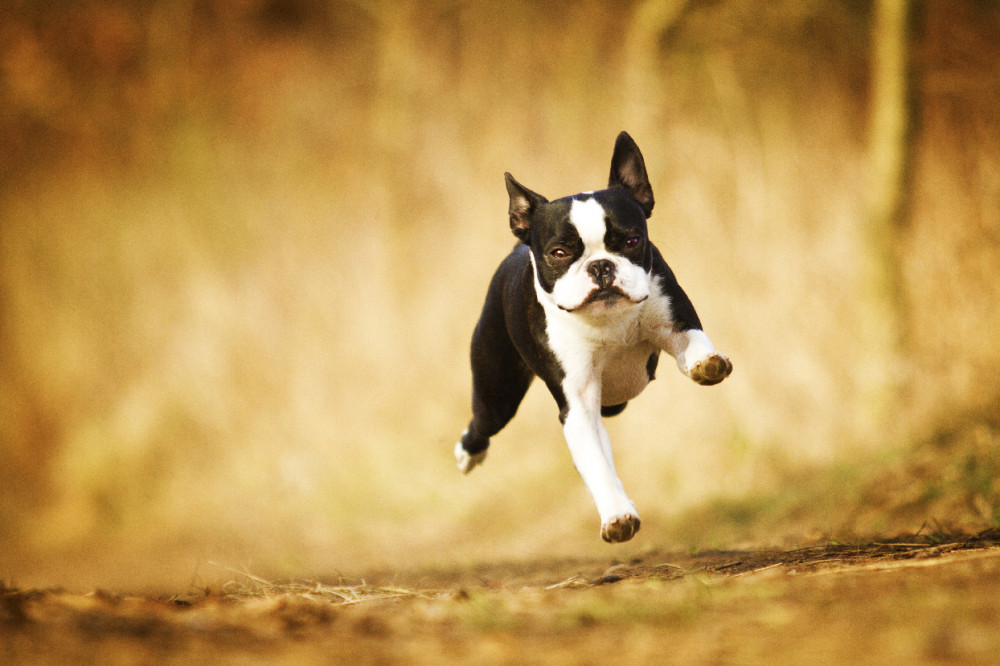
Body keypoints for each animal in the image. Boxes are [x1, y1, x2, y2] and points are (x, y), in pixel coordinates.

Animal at [458, 132, 732, 544]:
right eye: (558, 253)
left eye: (632, 241)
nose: (601, 266)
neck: (608, 321)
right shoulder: (578, 401)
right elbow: (597, 462)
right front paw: (617, 516)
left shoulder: (674, 319)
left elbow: (694, 339)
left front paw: (706, 363)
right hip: (497, 394)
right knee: (481, 426)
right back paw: (467, 454)